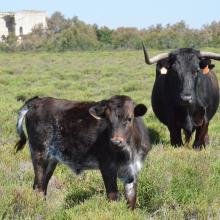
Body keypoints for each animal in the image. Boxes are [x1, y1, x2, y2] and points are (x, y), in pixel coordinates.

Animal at [15, 95, 150, 209]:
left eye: (129, 118)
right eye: (108, 120)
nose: (116, 141)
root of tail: (38, 100)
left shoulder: (132, 171)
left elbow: (131, 198)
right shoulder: (107, 167)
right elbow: (113, 196)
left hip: (51, 159)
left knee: (42, 185)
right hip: (39, 152)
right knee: (38, 186)